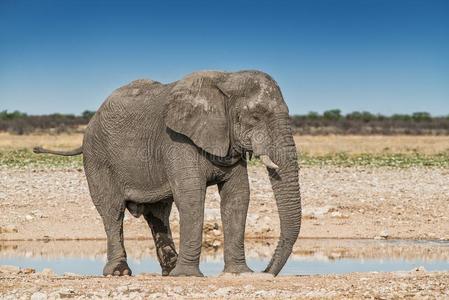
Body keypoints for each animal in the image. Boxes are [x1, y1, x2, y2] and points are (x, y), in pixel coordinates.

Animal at [34, 70, 300, 276]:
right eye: (255, 117)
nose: (266, 272)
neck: (226, 79)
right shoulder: (177, 141)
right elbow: (191, 197)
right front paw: (189, 276)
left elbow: (237, 196)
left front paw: (239, 274)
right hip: (97, 157)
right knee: (113, 212)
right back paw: (120, 272)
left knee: (158, 214)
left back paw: (169, 271)